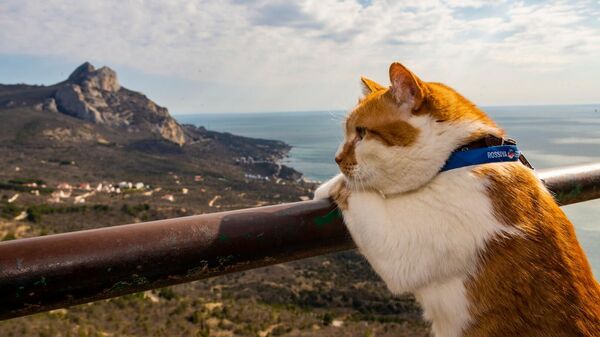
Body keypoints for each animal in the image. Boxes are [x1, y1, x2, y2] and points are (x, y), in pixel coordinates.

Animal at [314, 61, 600, 334]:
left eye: (361, 133)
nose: (336, 158)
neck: (463, 154)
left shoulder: (398, 248)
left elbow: (358, 193)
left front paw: (332, 185)